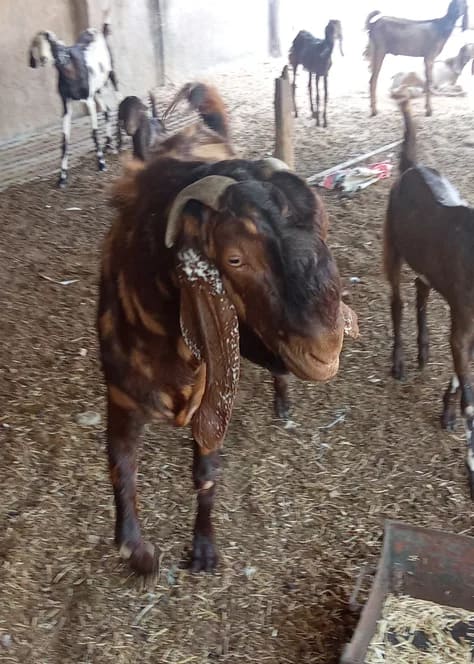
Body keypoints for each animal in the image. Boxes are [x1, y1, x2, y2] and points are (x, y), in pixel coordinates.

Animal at [29, 22, 119, 188]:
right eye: (36, 45)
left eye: (50, 42)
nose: (44, 59)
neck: (71, 69)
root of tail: (99, 31)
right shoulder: (66, 104)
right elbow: (65, 140)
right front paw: (62, 177)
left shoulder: (88, 100)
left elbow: (94, 133)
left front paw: (101, 164)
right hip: (97, 90)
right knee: (107, 110)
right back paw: (109, 144)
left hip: (111, 75)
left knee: (120, 99)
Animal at [97, 83, 358, 575]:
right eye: (235, 258)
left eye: (324, 228)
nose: (326, 347)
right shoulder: (119, 399)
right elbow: (121, 469)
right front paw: (136, 551)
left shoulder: (212, 392)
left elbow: (205, 474)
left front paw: (203, 547)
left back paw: (283, 402)